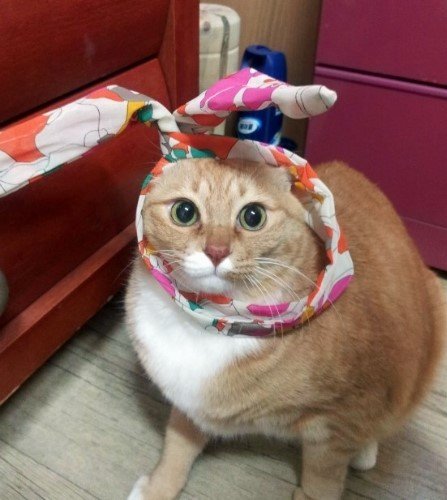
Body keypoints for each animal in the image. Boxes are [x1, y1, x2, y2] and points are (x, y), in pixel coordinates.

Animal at [125, 158, 445, 500]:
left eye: (253, 216)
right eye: (184, 212)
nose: (216, 251)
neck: (213, 319)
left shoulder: (336, 423)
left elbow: (322, 481)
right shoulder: (187, 401)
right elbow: (178, 446)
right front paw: (158, 487)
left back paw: (364, 451)